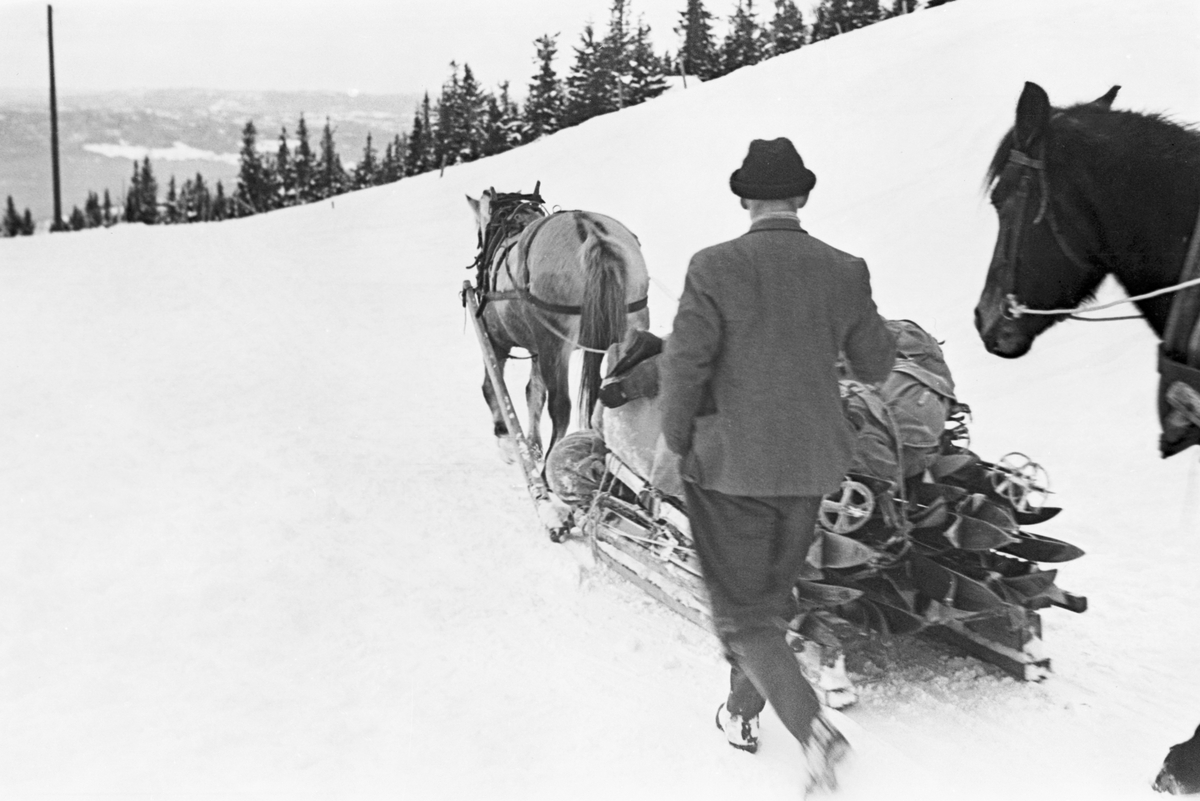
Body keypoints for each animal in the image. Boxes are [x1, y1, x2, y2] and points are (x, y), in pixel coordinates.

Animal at [463, 188, 648, 460]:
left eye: (479, 232)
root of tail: (592, 235)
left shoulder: (497, 341)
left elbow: (492, 387)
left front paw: (506, 439)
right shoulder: (537, 349)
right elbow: (534, 392)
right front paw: (532, 444)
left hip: (555, 345)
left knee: (561, 408)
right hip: (630, 329)